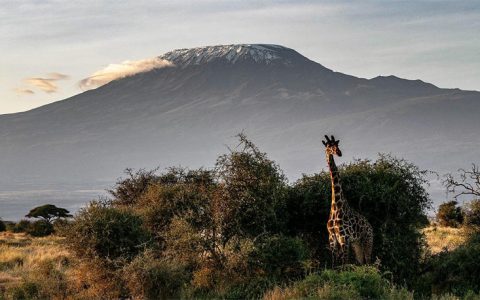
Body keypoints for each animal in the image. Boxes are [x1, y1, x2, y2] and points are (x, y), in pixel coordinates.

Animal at [322, 135, 376, 264]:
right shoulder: (332, 237)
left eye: (337, 145)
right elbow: (335, 264)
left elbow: (344, 263)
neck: (336, 206)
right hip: (357, 244)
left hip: (367, 241)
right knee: (362, 263)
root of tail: (371, 227)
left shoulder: (344, 237)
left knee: (370, 263)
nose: (339, 153)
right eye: (329, 146)